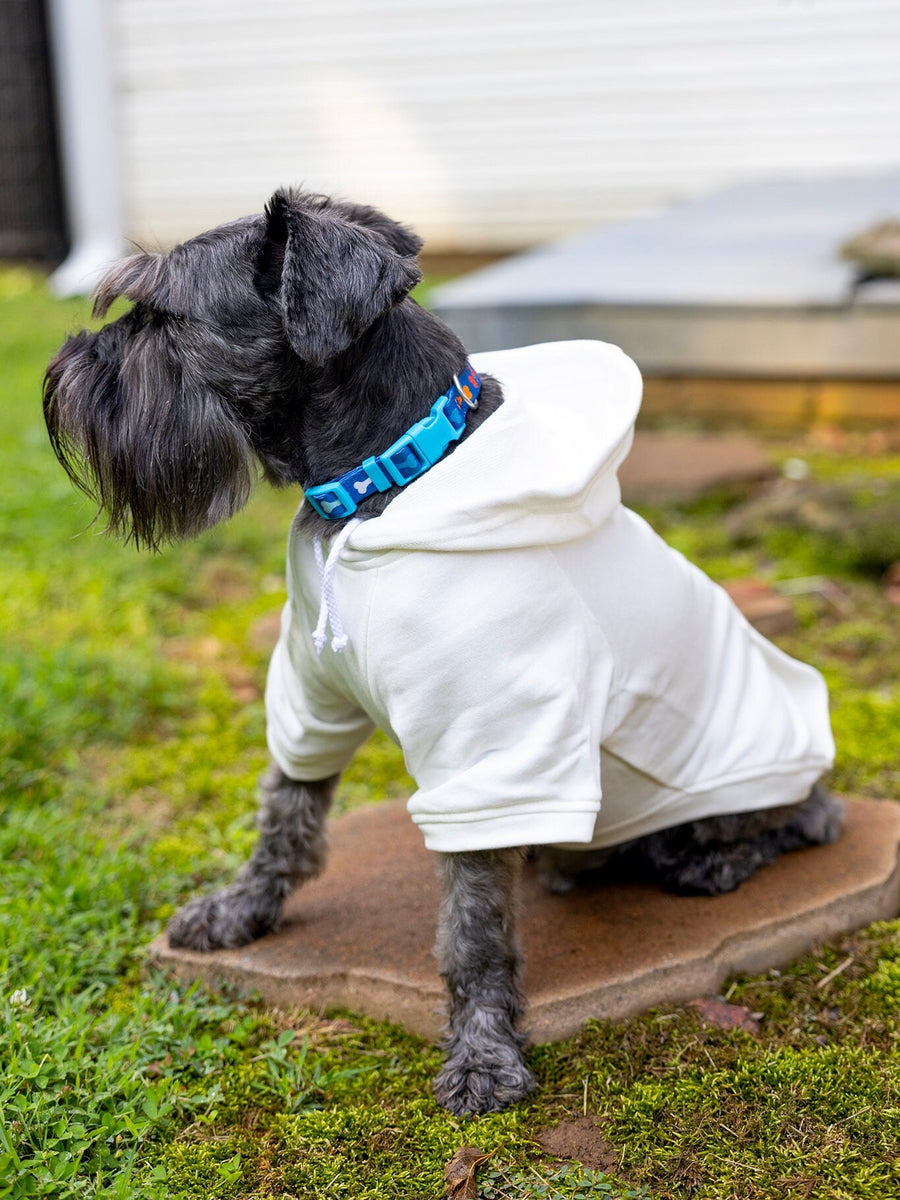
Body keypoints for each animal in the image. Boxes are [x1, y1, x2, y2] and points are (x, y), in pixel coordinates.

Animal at [42, 187, 844, 1113]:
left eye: (163, 314)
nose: (60, 371)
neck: (390, 477)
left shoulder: (490, 743)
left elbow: (471, 926)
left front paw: (482, 1056)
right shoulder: (312, 691)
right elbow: (286, 812)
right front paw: (241, 911)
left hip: (743, 779)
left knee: (807, 818)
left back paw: (713, 858)